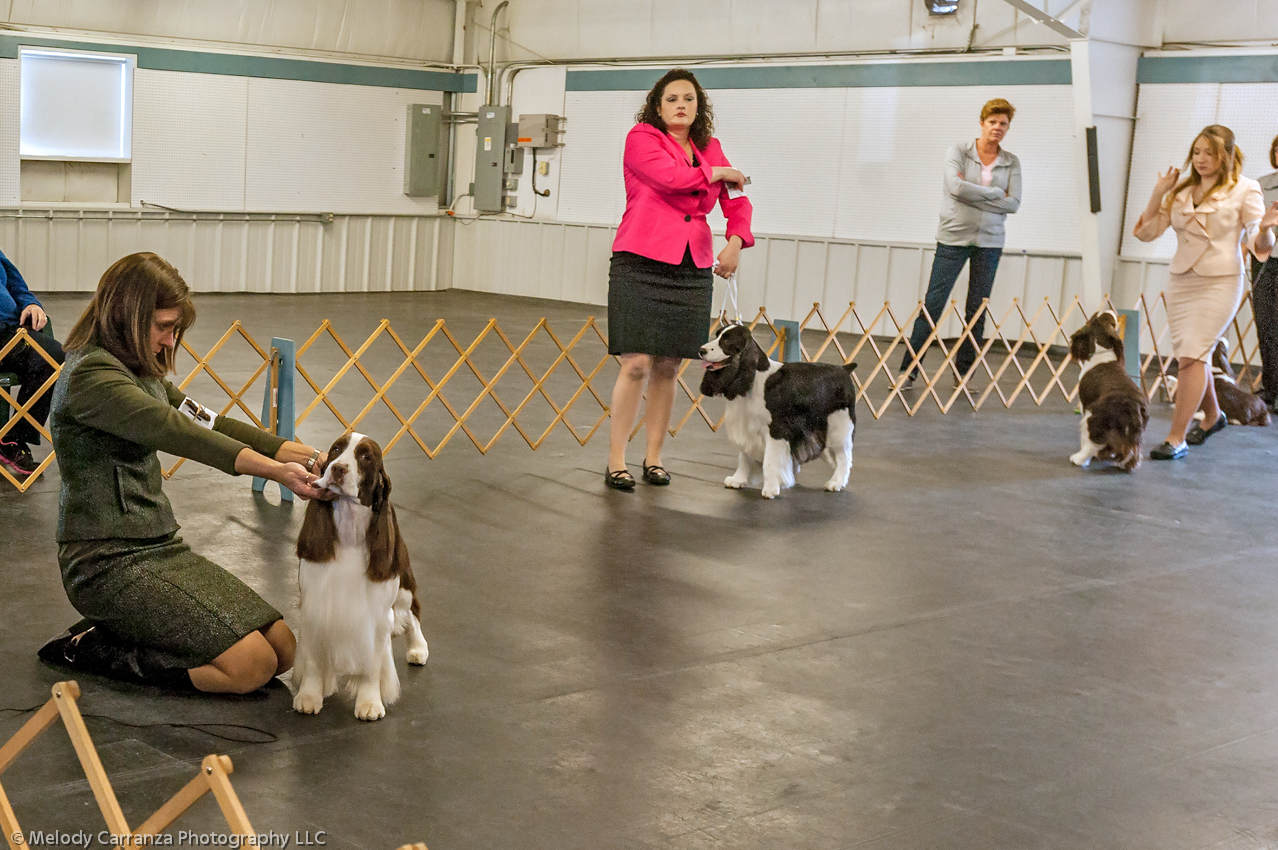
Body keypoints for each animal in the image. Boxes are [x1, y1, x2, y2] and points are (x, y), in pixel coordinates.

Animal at [292, 432, 426, 715]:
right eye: (335, 449)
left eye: (365, 456)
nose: (337, 469)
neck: (349, 532)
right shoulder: (314, 605)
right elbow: (312, 659)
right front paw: (309, 696)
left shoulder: (376, 616)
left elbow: (371, 665)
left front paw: (370, 703)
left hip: (403, 586)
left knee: (413, 611)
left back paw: (418, 648)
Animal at [1068, 311, 1150, 470]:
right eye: (1112, 322)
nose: (1111, 312)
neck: (1102, 352)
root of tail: (1131, 404)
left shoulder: (1085, 406)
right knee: (1132, 447)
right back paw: (1125, 462)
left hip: (1094, 418)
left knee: (1094, 441)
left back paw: (1079, 459)